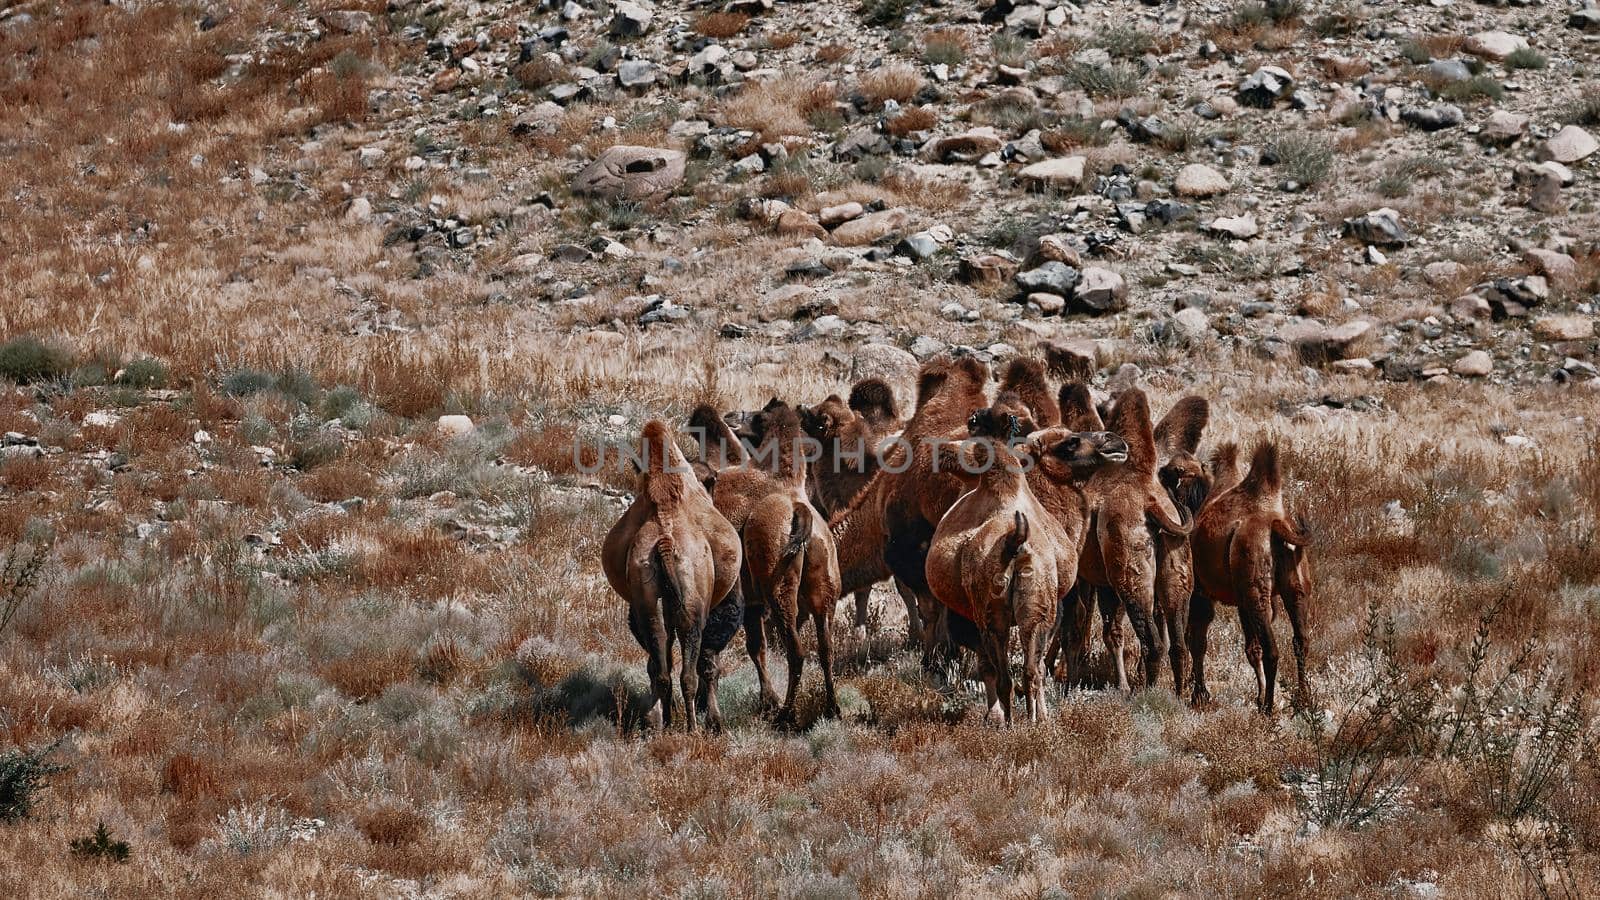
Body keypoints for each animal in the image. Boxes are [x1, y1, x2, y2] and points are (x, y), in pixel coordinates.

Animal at [604, 419, 742, 730]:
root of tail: (664, 542)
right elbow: (709, 661)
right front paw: (714, 720)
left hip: (647, 598)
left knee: (660, 663)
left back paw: (657, 722)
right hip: (692, 602)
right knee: (689, 666)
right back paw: (692, 727)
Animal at [691, 398, 844, 720]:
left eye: (759, 415)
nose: (732, 416)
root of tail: (800, 511)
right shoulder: (751, 600)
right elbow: (756, 647)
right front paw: (766, 700)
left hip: (778, 580)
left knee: (796, 651)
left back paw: (786, 714)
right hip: (825, 579)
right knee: (826, 647)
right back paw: (832, 708)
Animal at [1190, 438, 1312, 711]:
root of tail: (1276, 523)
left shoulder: (1201, 590)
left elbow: (1198, 641)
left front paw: (1199, 696)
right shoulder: (1240, 600)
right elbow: (1251, 648)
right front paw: (1257, 696)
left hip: (1255, 585)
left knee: (1272, 649)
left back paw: (1268, 708)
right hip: (1294, 582)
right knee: (1301, 640)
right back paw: (1303, 700)